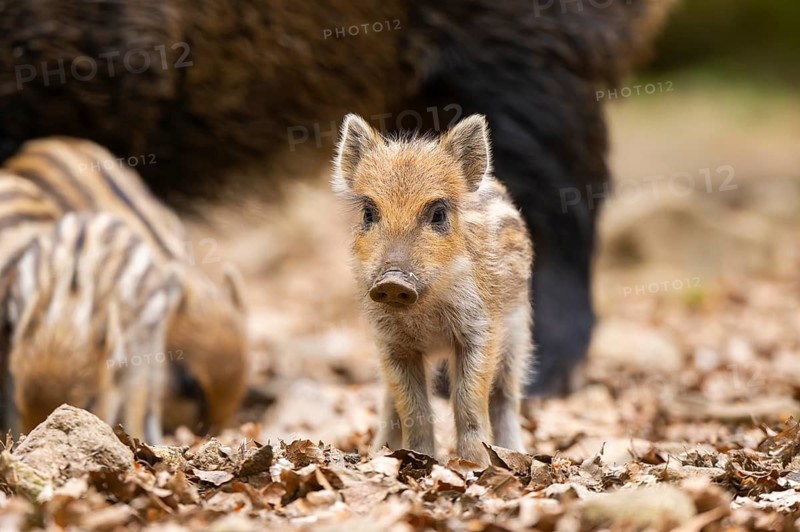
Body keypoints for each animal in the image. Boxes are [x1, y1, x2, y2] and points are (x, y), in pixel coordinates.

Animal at [332, 113, 533, 465]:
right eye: (368, 212)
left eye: (438, 213)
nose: (392, 281)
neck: (424, 313)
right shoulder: (390, 341)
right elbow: (412, 406)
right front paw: (417, 457)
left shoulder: (481, 329)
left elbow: (468, 401)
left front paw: (473, 464)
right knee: (389, 401)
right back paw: (377, 451)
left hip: (519, 331)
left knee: (505, 395)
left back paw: (515, 454)